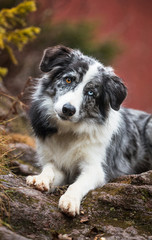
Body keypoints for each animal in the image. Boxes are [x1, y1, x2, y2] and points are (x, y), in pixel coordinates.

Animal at [26, 45, 152, 216]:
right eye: (68, 79)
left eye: (91, 92)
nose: (68, 109)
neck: (69, 132)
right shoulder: (54, 161)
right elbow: (49, 169)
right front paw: (40, 179)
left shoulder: (95, 169)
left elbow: (77, 184)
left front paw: (70, 201)